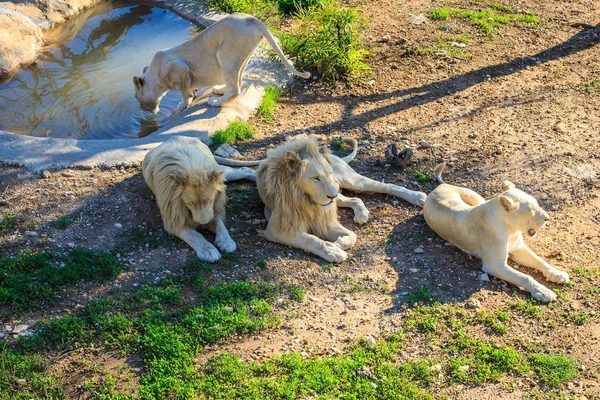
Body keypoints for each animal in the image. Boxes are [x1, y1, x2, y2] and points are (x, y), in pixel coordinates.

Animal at [132, 12, 310, 112]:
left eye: (135, 96)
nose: (141, 109)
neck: (156, 77)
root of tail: (253, 20)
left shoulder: (180, 68)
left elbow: (183, 93)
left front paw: (181, 106)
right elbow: (190, 90)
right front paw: (194, 94)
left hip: (226, 54)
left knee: (235, 89)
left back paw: (215, 102)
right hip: (242, 56)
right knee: (238, 80)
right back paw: (219, 90)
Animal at [424, 164, 568, 302]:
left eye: (537, 204)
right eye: (532, 210)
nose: (548, 218)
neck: (511, 230)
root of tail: (438, 187)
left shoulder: (518, 249)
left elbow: (539, 260)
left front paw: (558, 274)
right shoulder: (494, 265)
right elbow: (524, 277)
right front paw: (543, 291)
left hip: (475, 196)